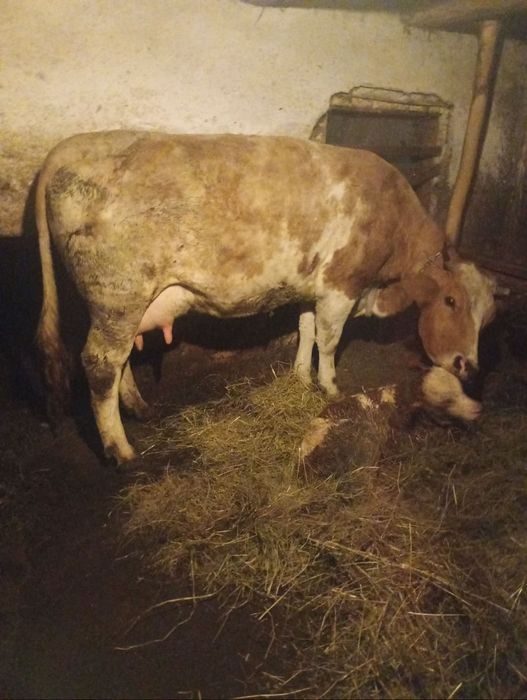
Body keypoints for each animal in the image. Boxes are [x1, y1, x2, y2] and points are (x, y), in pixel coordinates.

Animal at [35, 131, 497, 465]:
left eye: (487, 317)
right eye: (452, 301)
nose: (468, 366)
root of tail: (70, 145)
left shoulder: (311, 287)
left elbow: (307, 330)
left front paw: (300, 376)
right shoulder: (341, 285)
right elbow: (330, 340)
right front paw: (330, 386)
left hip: (121, 305)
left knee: (121, 359)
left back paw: (137, 406)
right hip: (118, 294)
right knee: (101, 363)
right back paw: (121, 449)